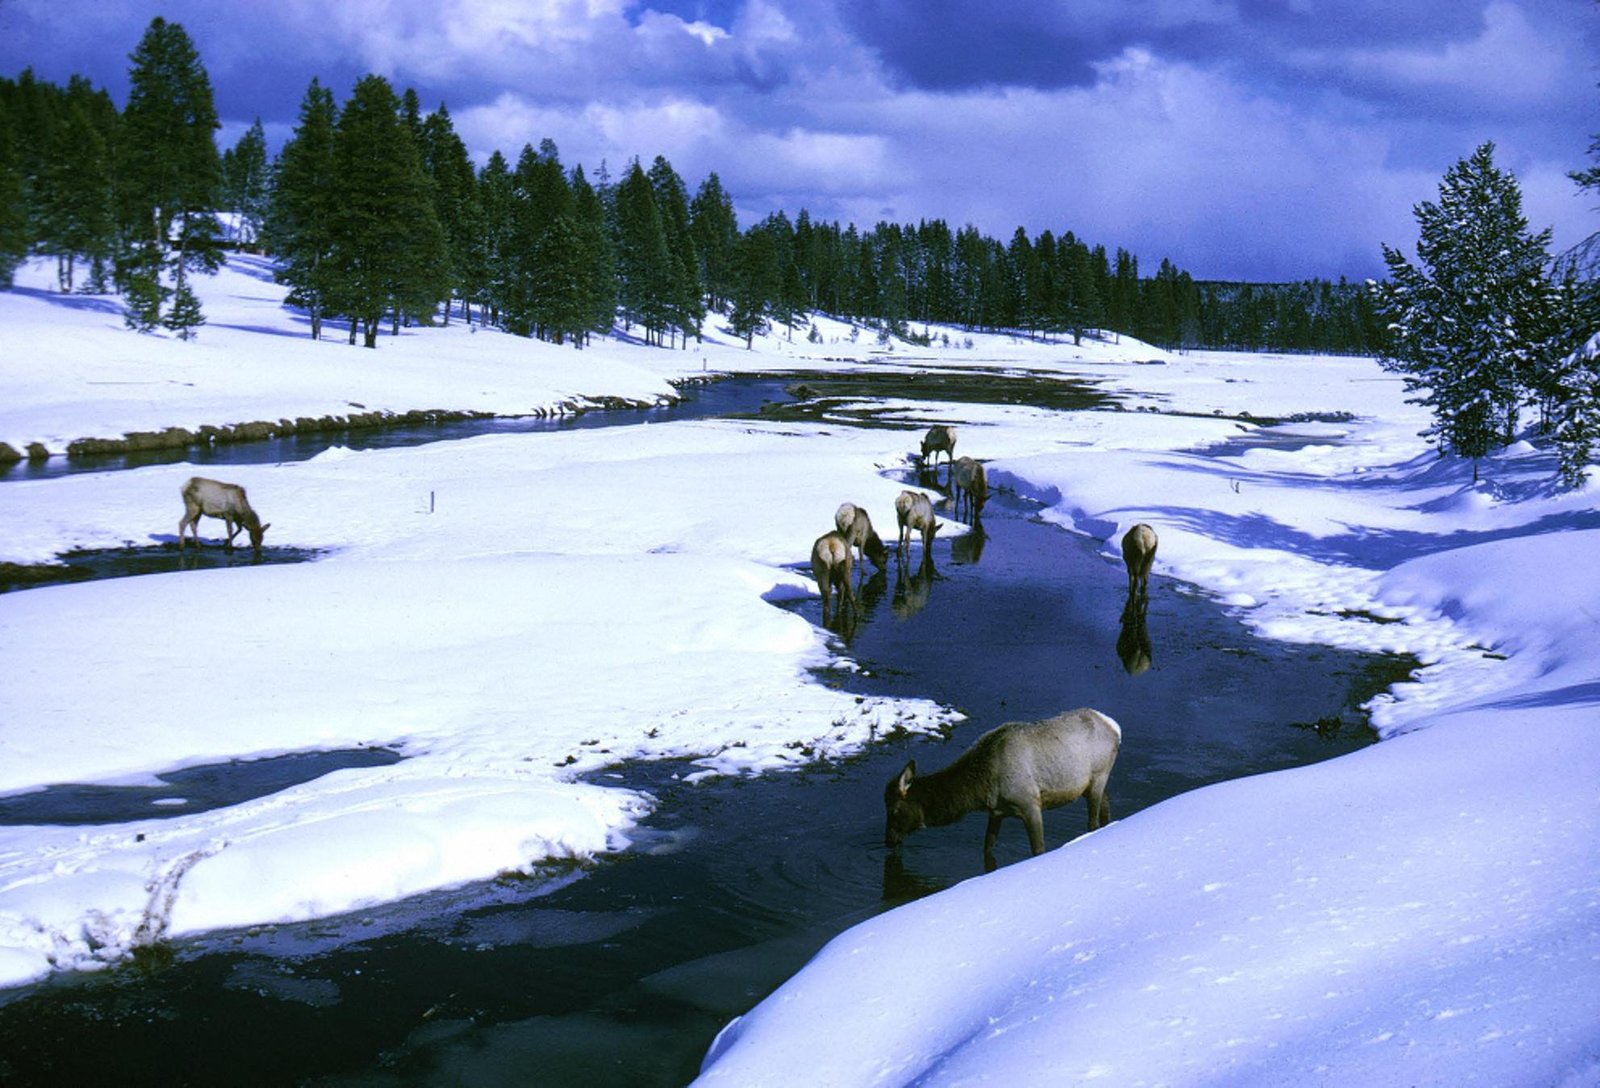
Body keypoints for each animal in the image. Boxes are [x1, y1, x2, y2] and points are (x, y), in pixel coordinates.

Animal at [884, 708, 1122, 872]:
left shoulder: (1030, 804)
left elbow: (1038, 849)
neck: (981, 788)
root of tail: (1115, 727)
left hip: (1098, 776)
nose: (889, 841)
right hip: (1095, 783)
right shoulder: (997, 812)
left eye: (894, 810)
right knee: (1106, 805)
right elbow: (987, 847)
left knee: (1092, 822)